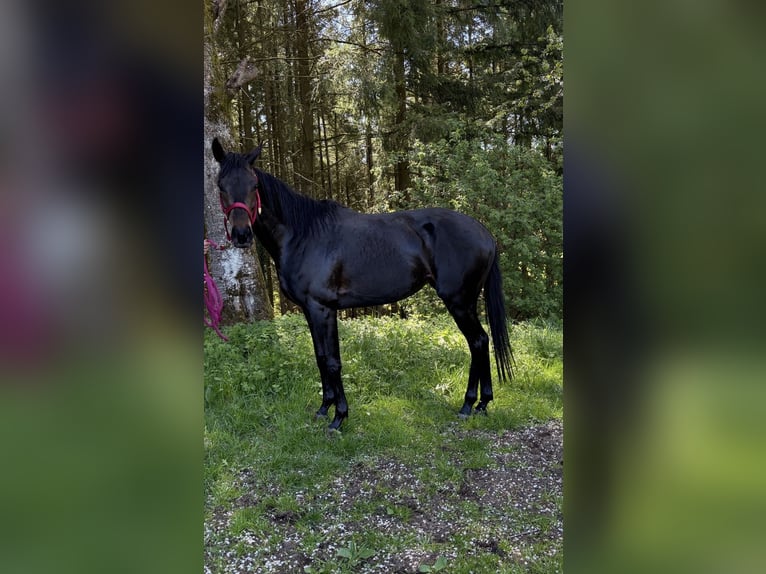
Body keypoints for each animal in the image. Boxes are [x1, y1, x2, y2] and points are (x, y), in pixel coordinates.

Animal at [211, 138, 513, 430]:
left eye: (254, 185)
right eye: (221, 186)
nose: (241, 235)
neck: (303, 235)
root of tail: (485, 233)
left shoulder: (323, 309)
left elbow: (332, 362)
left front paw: (339, 418)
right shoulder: (310, 310)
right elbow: (320, 357)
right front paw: (323, 409)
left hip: (459, 301)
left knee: (477, 341)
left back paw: (470, 405)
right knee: (480, 342)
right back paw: (481, 404)